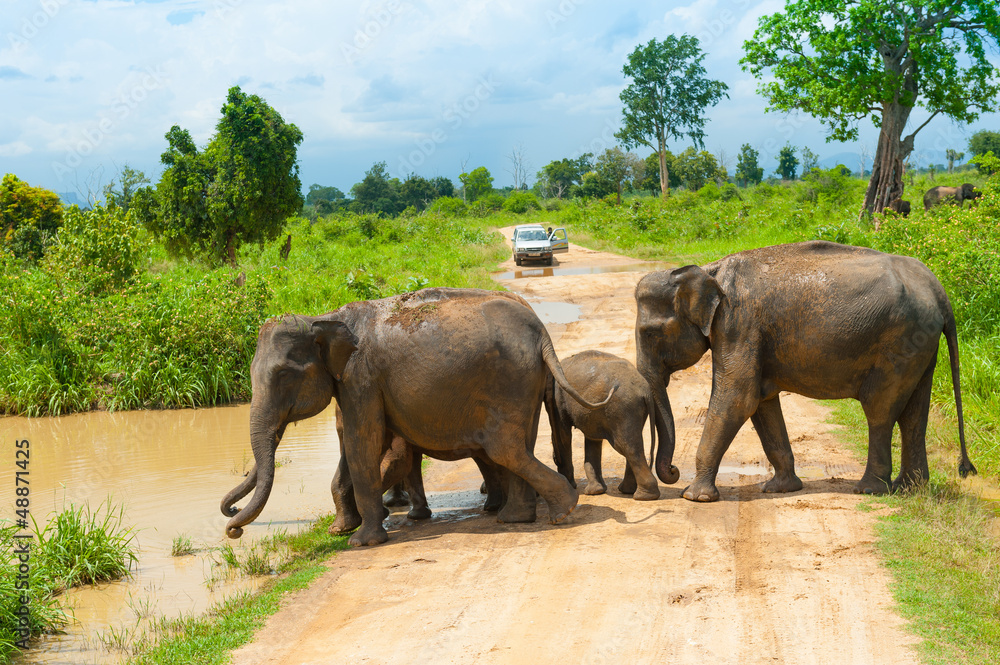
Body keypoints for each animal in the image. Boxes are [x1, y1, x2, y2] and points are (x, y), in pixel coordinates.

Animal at [221, 287, 612, 546]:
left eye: (284, 375)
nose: (233, 526)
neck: (325, 318)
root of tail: (541, 331)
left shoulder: (361, 377)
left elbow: (363, 442)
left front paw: (361, 542)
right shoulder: (355, 383)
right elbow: (357, 442)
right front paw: (342, 530)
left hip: (510, 379)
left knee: (505, 449)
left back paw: (561, 512)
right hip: (523, 381)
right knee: (515, 447)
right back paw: (518, 517)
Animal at [549, 350, 660, 500]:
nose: (554, 457)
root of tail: (645, 391)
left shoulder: (558, 400)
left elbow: (563, 434)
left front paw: (575, 487)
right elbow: (592, 440)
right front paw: (595, 491)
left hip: (622, 408)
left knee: (627, 446)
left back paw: (643, 496)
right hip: (633, 409)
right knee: (632, 443)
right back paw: (629, 491)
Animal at [634, 240, 977, 503]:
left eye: (650, 333)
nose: (672, 472)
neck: (707, 270)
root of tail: (937, 288)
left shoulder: (738, 324)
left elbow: (739, 398)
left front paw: (695, 497)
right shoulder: (748, 333)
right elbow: (762, 402)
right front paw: (778, 489)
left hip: (899, 341)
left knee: (880, 409)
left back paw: (870, 490)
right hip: (921, 343)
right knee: (914, 414)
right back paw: (909, 489)